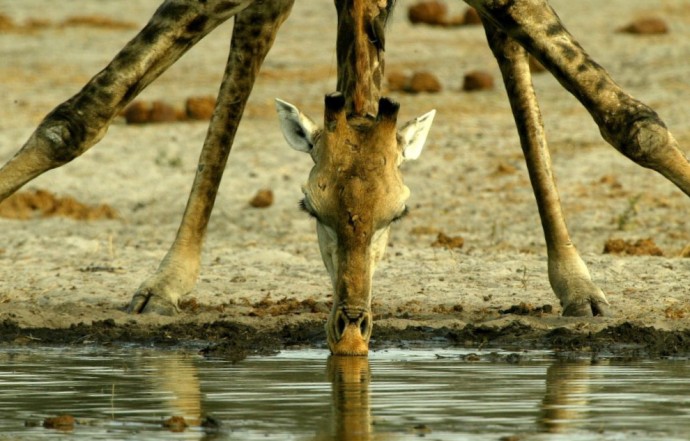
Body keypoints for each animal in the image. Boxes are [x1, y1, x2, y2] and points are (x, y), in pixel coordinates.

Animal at [0, 0, 684, 356]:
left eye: (399, 214)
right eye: (310, 209)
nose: (351, 333)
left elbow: (627, 118)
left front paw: (580, 286)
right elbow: (83, 114)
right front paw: (163, 285)